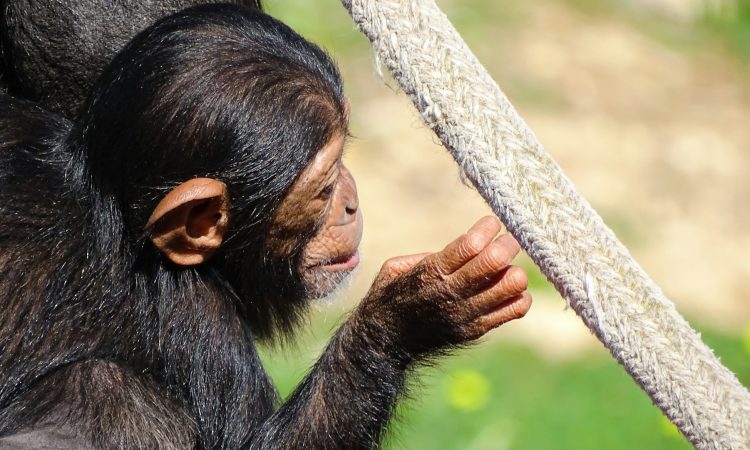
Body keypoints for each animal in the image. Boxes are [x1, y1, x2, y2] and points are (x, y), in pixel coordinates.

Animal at [0, 4, 532, 449]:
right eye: (323, 187)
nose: (351, 201)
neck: (108, 206)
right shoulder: (203, 327)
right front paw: (413, 310)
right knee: (104, 391)